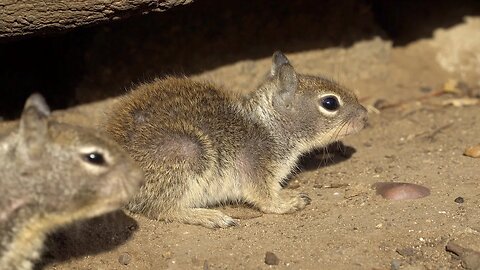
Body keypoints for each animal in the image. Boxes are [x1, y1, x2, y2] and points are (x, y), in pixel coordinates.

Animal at [106, 51, 368, 228]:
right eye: (330, 102)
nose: (365, 115)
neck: (270, 127)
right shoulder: (257, 173)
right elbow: (267, 201)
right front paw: (289, 202)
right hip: (187, 153)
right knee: (161, 209)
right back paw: (210, 216)